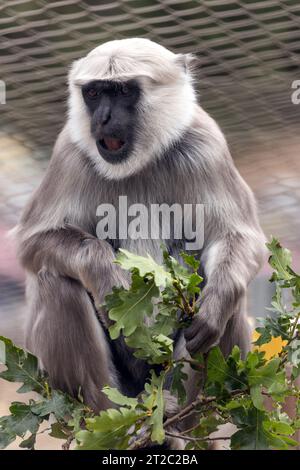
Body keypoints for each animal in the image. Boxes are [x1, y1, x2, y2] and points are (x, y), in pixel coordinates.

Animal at [16, 40, 264, 420]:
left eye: (122, 91)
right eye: (93, 93)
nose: (102, 118)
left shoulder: (205, 142)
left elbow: (237, 236)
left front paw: (215, 305)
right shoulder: (69, 151)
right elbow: (33, 244)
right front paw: (107, 279)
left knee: (228, 286)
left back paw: (178, 414)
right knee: (55, 281)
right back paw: (112, 413)